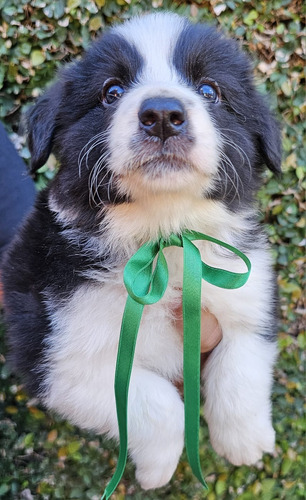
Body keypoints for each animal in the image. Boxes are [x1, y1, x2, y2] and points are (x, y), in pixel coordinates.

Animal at [1, 12, 282, 492]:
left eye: (210, 90)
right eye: (111, 92)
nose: (163, 115)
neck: (163, 237)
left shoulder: (248, 296)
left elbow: (240, 366)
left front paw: (245, 442)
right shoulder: (52, 355)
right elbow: (153, 402)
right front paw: (157, 468)